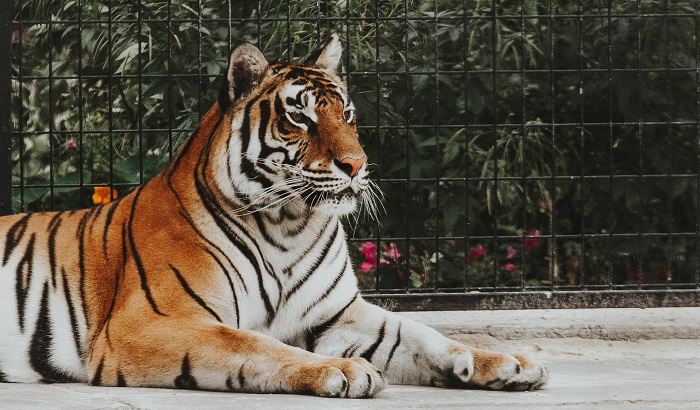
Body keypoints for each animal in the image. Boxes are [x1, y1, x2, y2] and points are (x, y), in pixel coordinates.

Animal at [0, 34, 548, 397]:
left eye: (347, 115)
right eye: (300, 117)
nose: (357, 165)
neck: (290, 225)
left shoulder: (338, 315)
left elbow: (419, 333)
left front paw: (507, 361)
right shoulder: (150, 323)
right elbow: (252, 344)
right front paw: (343, 371)